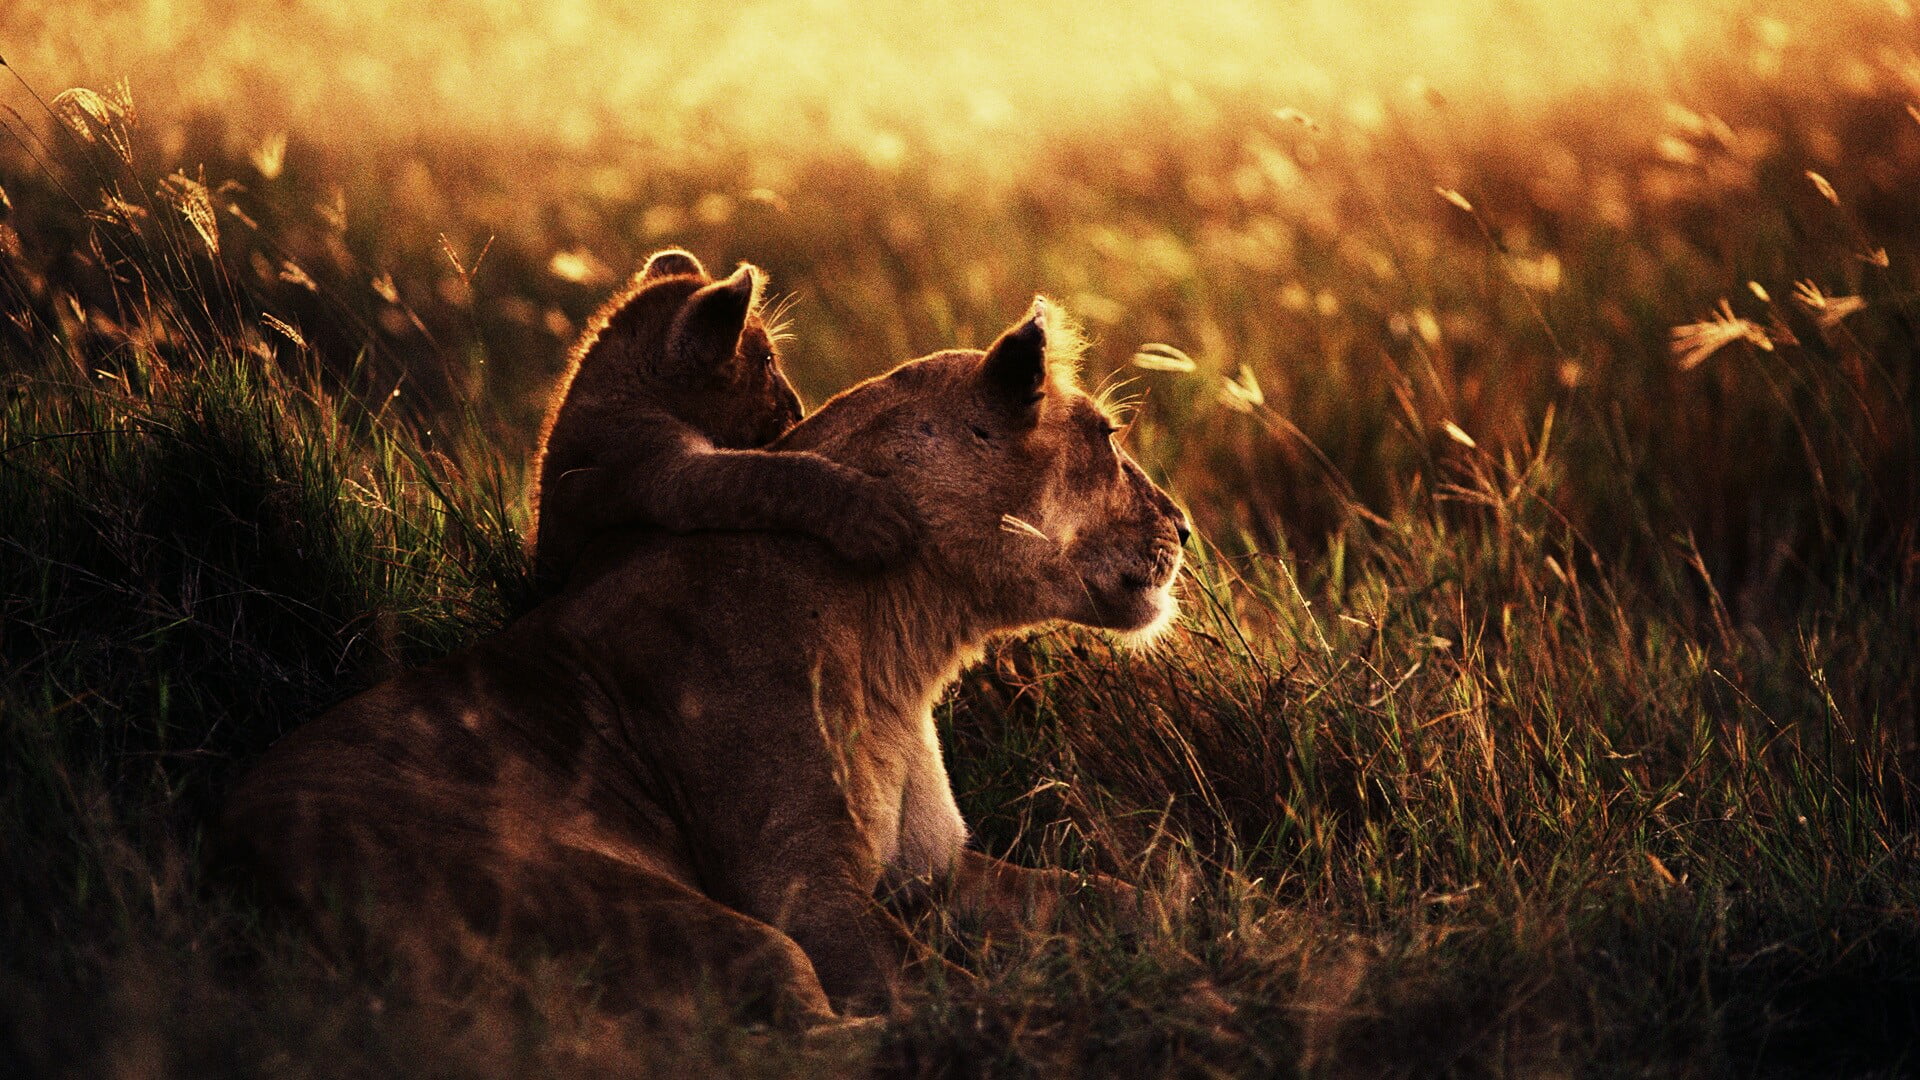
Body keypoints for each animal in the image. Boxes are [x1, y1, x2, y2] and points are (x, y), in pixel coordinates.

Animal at [220, 298, 1190, 1028]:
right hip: (656, 911)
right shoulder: (800, 888)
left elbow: (1120, 895)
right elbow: (940, 992)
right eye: (1108, 437)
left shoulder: (936, 871)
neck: (906, 640)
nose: (1183, 525)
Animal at [530, 248, 917, 590]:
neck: (628, 392)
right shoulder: (662, 472)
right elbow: (766, 473)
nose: (799, 409)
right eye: (766, 361)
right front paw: (871, 514)